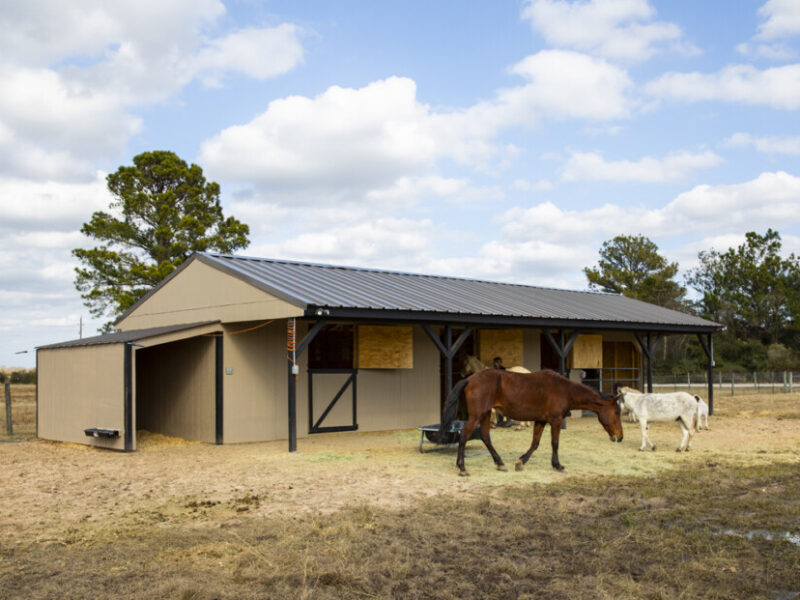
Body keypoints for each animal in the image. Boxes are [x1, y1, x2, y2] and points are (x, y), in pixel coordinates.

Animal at [438, 368, 624, 476]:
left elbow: (535, 443)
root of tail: (470, 379)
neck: (565, 390)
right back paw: (462, 468)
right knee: (464, 436)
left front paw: (521, 462)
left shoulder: (540, 421)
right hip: (477, 415)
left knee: (485, 437)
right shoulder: (556, 420)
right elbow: (554, 443)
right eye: (617, 412)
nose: (620, 436)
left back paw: (500, 464)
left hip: (485, 415)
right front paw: (558, 466)